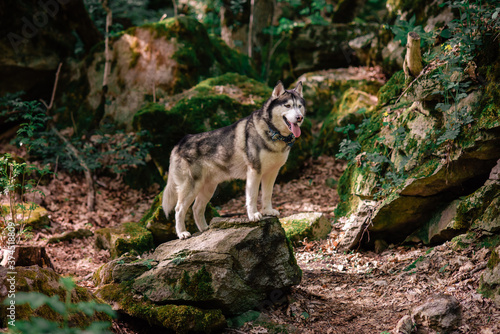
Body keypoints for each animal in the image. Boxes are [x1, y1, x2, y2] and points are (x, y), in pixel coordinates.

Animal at [163, 81, 304, 239]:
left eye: (299, 106)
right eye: (287, 105)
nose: (299, 117)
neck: (272, 132)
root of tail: (180, 143)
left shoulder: (271, 173)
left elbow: (267, 194)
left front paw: (268, 211)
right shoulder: (254, 172)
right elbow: (252, 196)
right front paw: (253, 215)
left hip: (208, 188)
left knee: (196, 208)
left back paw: (205, 230)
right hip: (191, 187)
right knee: (179, 209)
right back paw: (182, 233)